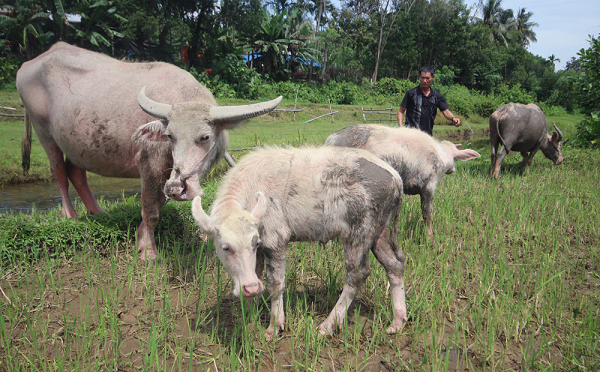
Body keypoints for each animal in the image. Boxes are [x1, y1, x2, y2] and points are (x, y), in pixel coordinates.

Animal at [17, 41, 282, 258]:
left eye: (205, 137)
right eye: (169, 136)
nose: (177, 187)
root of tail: (30, 64)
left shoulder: (166, 176)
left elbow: (159, 202)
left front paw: (140, 237)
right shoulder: (149, 166)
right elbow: (151, 210)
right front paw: (149, 252)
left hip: (76, 142)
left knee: (76, 173)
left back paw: (98, 212)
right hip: (44, 132)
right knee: (59, 173)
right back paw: (71, 215)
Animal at [192, 145, 408, 340]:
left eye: (253, 244)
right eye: (225, 247)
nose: (249, 287)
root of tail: (395, 177)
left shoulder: (276, 240)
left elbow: (275, 283)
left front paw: (273, 328)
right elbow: (258, 273)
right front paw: (250, 315)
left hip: (358, 233)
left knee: (358, 273)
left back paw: (327, 325)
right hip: (380, 232)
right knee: (394, 265)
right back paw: (397, 323)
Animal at [326, 124, 480, 241]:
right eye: (456, 158)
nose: (453, 170)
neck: (440, 156)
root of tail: (331, 139)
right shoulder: (428, 186)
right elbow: (427, 213)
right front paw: (429, 239)